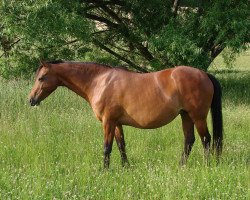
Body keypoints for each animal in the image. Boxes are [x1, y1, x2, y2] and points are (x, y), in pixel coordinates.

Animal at [28, 60, 224, 167]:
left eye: (41, 78)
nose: (31, 100)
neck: (100, 81)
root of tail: (204, 74)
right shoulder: (116, 123)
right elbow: (121, 145)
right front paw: (126, 167)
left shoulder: (108, 121)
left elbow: (107, 147)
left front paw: (104, 171)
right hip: (186, 115)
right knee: (189, 140)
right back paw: (181, 166)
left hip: (197, 116)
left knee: (206, 140)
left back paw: (206, 165)